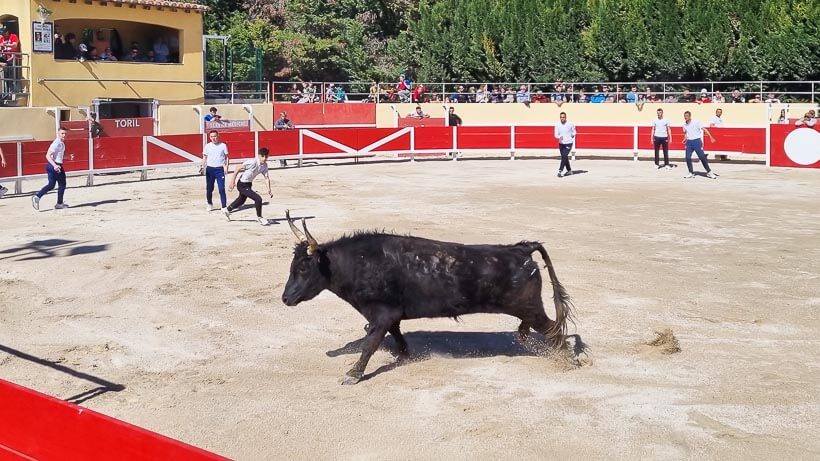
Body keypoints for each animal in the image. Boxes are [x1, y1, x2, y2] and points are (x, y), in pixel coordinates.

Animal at [284, 212, 576, 384]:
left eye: (304, 268)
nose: (285, 299)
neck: (359, 263)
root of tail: (521, 249)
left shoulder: (381, 314)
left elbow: (369, 344)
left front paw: (353, 374)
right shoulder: (390, 315)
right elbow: (395, 335)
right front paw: (404, 355)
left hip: (530, 308)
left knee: (553, 329)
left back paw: (569, 361)